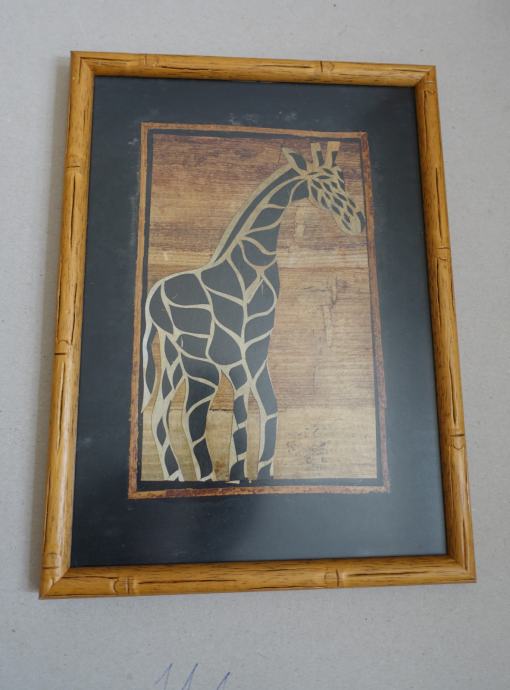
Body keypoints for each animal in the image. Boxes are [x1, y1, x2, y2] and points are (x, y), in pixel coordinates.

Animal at [141, 141, 365, 483]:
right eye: (320, 182)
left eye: (342, 178)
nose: (357, 222)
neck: (255, 260)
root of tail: (152, 297)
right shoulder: (237, 350)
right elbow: (242, 407)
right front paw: (237, 474)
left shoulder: (258, 346)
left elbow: (268, 403)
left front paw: (261, 474)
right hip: (197, 360)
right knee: (191, 416)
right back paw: (204, 481)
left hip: (173, 357)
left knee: (159, 413)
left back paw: (177, 478)